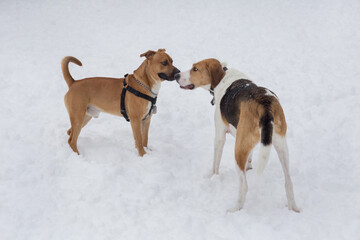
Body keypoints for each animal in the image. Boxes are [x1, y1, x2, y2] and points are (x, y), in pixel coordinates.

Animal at [176, 59, 300, 213]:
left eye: (195, 69)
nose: (176, 75)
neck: (224, 76)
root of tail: (265, 104)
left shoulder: (220, 136)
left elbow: (215, 164)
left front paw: (212, 177)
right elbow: (250, 158)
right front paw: (249, 166)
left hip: (238, 150)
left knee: (244, 186)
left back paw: (235, 209)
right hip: (281, 146)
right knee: (288, 182)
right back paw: (293, 208)